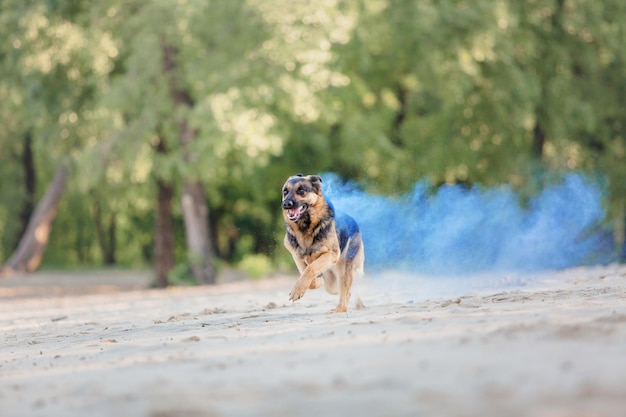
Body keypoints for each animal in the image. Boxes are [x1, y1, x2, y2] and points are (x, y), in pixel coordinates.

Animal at [280, 173, 364, 312]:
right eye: (285, 191)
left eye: (301, 190)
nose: (286, 204)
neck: (305, 228)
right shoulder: (296, 256)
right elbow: (306, 272)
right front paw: (313, 283)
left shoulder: (331, 254)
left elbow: (310, 268)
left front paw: (298, 290)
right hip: (332, 281)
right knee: (343, 290)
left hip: (343, 269)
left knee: (345, 289)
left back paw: (340, 308)